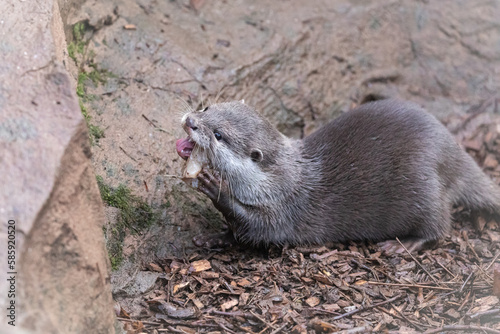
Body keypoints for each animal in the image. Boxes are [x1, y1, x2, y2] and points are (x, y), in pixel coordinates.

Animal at [176, 100, 500, 253]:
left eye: (219, 135)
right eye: (207, 107)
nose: (191, 121)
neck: (279, 182)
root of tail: (452, 150)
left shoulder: (285, 209)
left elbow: (255, 229)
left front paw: (214, 186)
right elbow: (234, 233)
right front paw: (213, 238)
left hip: (422, 185)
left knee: (439, 225)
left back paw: (403, 244)